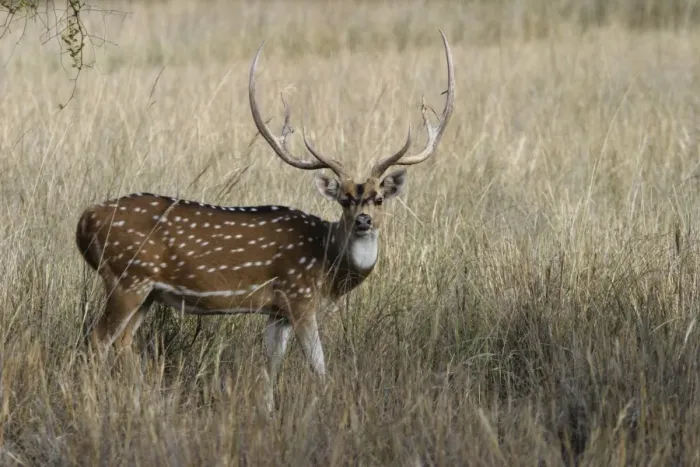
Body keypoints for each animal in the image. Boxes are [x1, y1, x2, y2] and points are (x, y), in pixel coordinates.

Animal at [75, 30, 454, 411]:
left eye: (378, 198)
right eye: (345, 199)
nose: (363, 220)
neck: (326, 261)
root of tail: (84, 220)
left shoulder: (277, 310)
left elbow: (271, 364)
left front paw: (268, 410)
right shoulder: (299, 295)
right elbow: (318, 366)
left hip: (147, 291)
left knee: (123, 341)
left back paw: (145, 404)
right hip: (127, 278)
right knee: (97, 339)